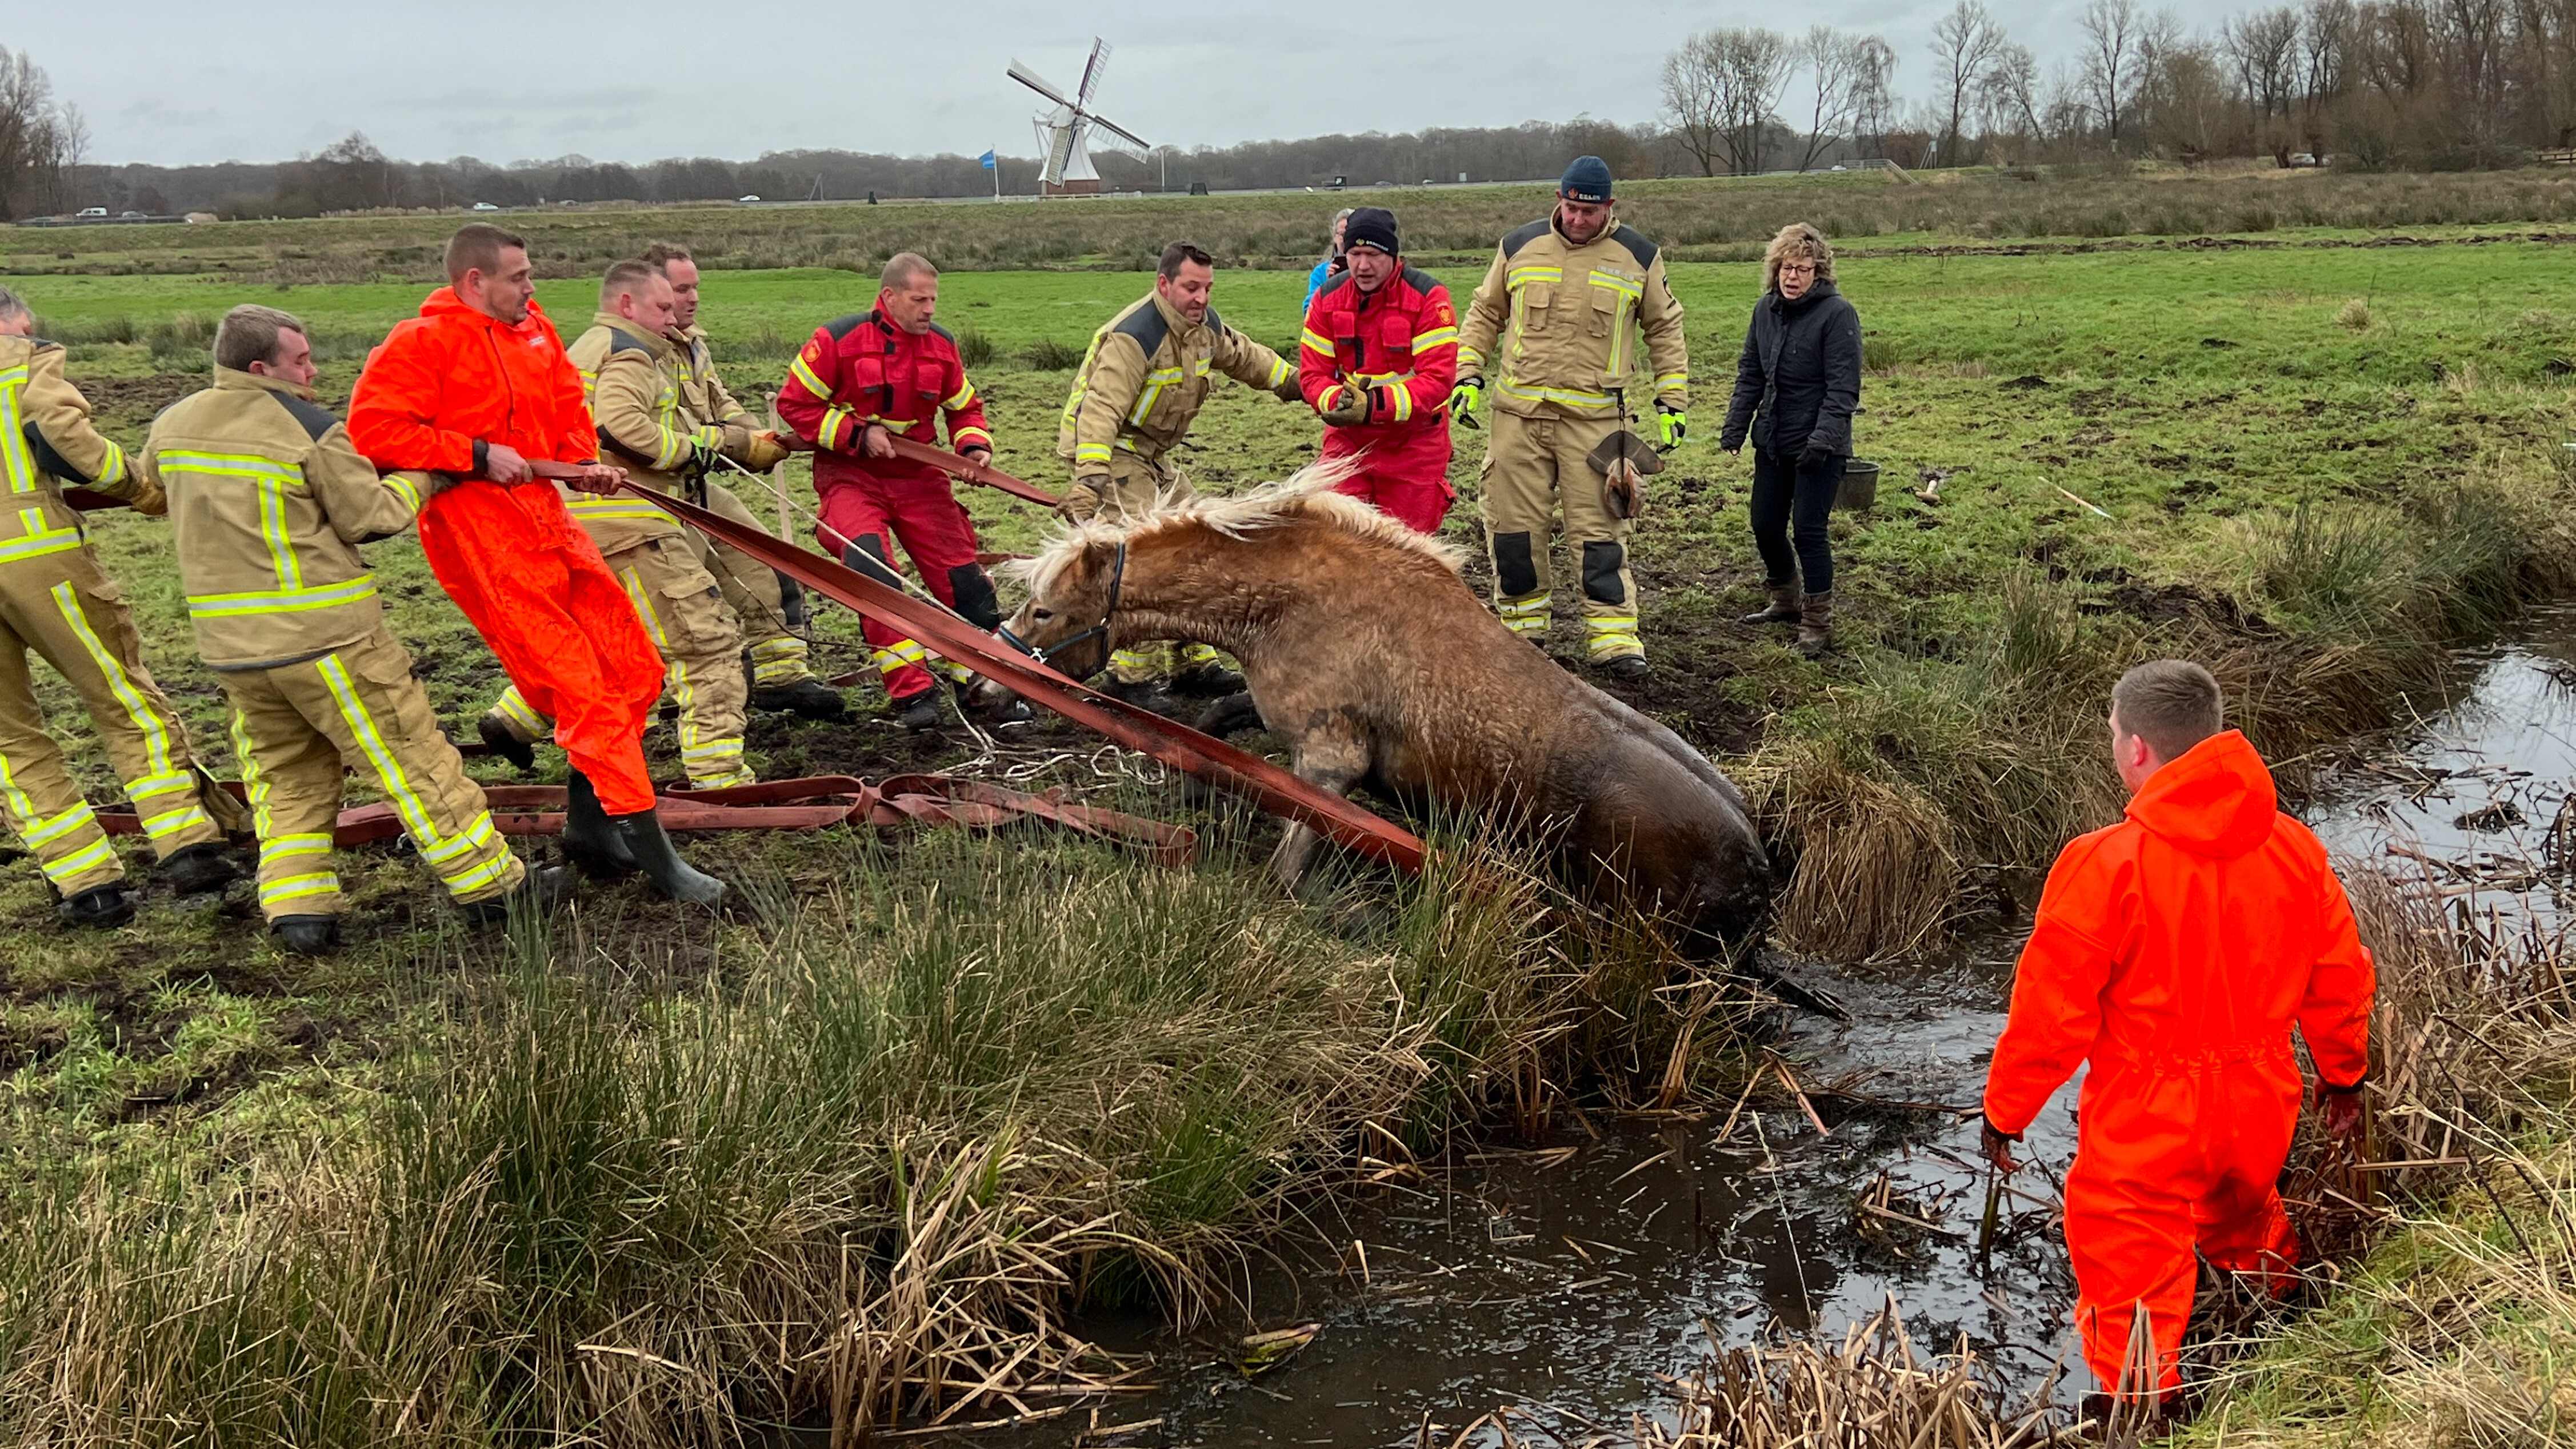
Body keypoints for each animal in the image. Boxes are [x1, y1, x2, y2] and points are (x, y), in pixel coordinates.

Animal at [979, 474, 1772, 948]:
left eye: (1043, 608)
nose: (977, 689)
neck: (1287, 604)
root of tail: (1758, 865)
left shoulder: (1332, 762)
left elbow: (1287, 869)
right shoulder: (1291, 723)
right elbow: (1219, 718)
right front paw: (1193, 788)